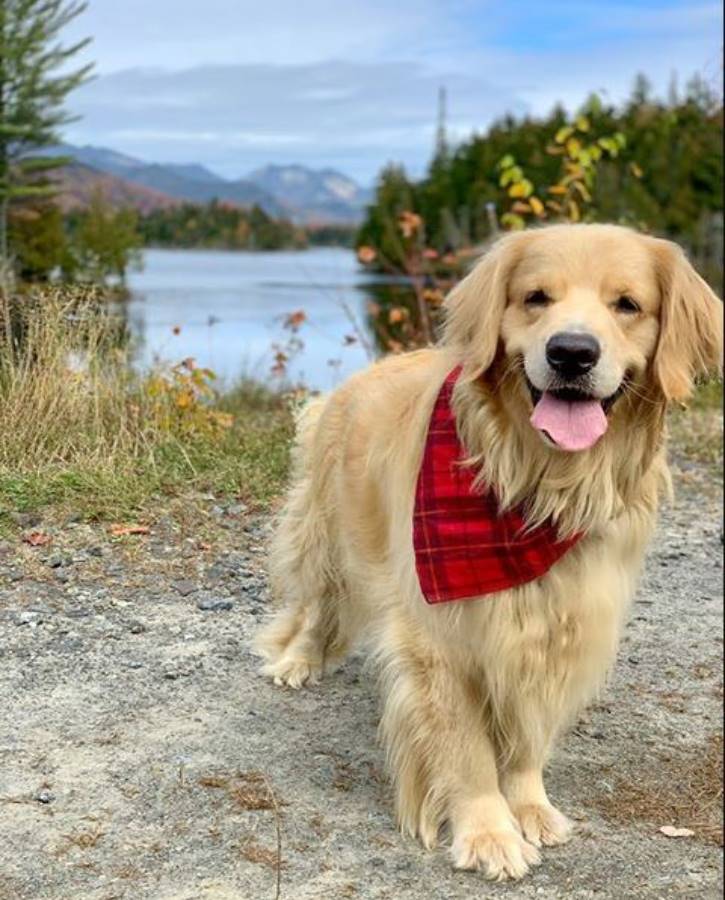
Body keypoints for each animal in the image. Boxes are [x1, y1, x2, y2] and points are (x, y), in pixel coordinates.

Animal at [253, 223, 720, 880]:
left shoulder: (559, 626)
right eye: (535, 298)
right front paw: (489, 833)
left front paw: (529, 807)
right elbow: (468, 750)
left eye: (627, 305)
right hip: (326, 534)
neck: (538, 489)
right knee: (316, 606)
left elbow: (527, 736)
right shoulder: (442, 637)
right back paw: (297, 660)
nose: (571, 353)